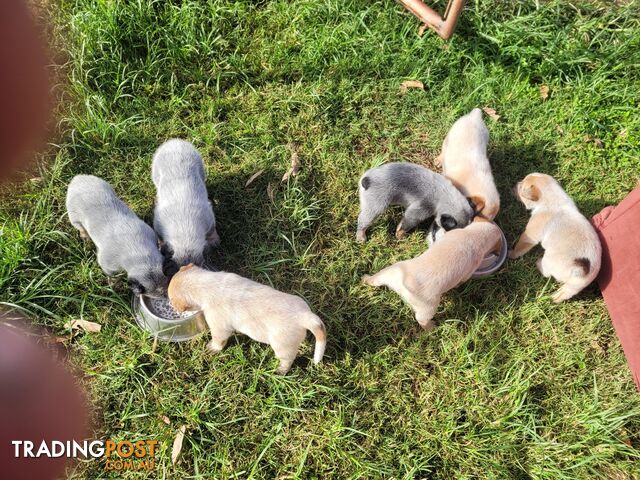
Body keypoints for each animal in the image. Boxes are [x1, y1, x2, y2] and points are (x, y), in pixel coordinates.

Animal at [152, 139, 220, 268]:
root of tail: (175, 141)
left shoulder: (209, 217)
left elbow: (212, 230)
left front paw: (216, 242)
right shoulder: (157, 223)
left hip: (200, 164)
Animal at [168, 262, 328, 376]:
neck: (206, 284)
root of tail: (306, 316)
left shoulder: (219, 327)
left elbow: (218, 341)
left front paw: (212, 348)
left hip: (282, 347)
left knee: (287, 361)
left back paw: (280, 371)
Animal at [362, 217, 502, 330]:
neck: (474, 234)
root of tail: (400, 284)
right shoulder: (469, 270)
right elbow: (462, 281)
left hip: (389, 271)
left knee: (376, 279)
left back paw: (365, 278)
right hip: (429, 307)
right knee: (421, 319)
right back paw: (431, 328)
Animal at [508, 172, 604, 302]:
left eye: (521, 187)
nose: (514, 184)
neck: (553, 197)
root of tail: (581, 269)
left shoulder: (530, 236)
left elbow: (519, 248)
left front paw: (511, 254)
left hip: (549, 260)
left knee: (547, 272)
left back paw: (539, 264)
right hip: (577, 284)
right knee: (567, 292)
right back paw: (556, 298)